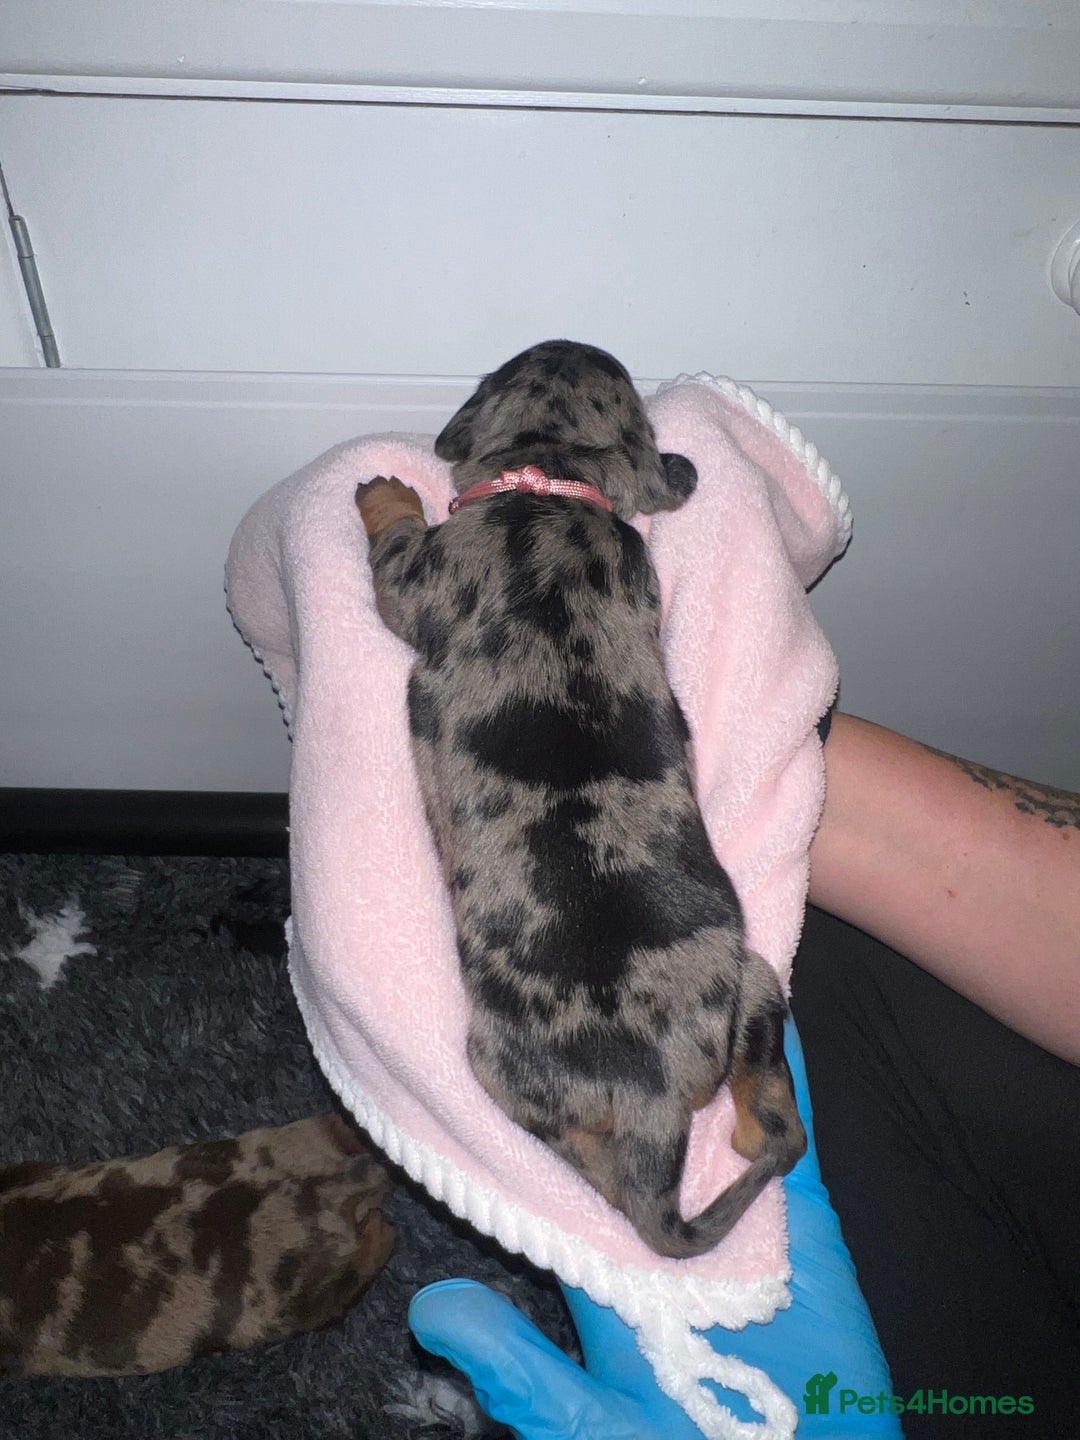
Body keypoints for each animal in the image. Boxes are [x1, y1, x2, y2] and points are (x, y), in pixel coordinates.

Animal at [355, 340, 806, 1259]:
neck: (552, 479)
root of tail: (654, 1100)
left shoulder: (423, 574)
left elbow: (397, 549)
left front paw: (385, 491)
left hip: (498, 1066)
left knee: (594, 1168)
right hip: (754, 979)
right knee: (781, 1129)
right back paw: (756, 1127)